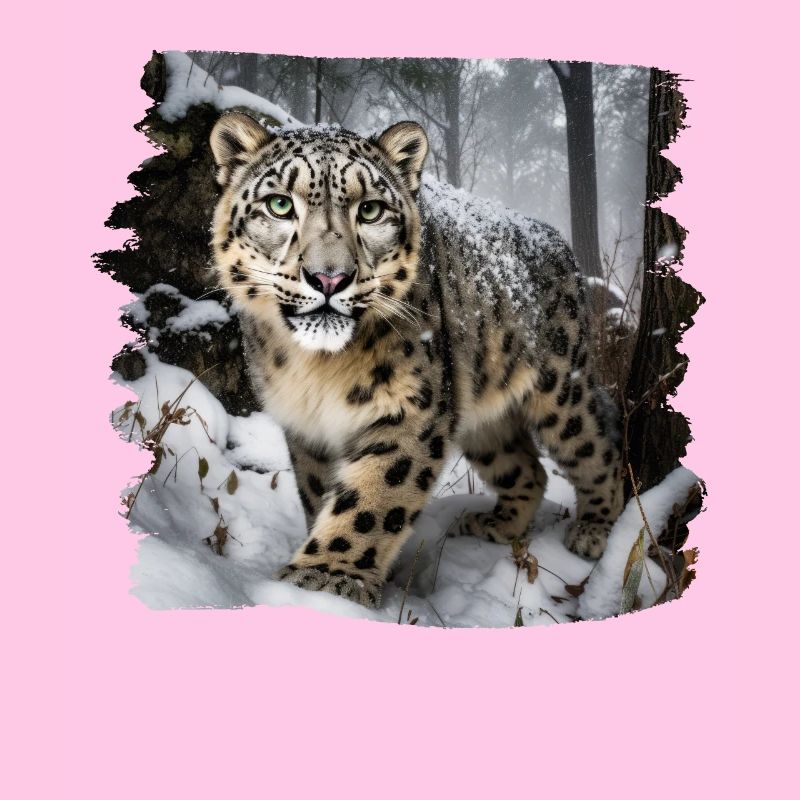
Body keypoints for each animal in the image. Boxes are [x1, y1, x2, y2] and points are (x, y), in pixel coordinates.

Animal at [208, 112, 624, 609]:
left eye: (370, 210)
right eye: (278, 204)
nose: (330, 277)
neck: (317, 372)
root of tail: (562, 246)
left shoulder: (413, 405)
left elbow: (373, 497)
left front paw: (327, 578)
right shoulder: (306, 427)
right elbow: (320, 493)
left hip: (560, 388)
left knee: (597, 446)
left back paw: (593, 531)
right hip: (480, 416)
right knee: (530, 469)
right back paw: (496, 525)